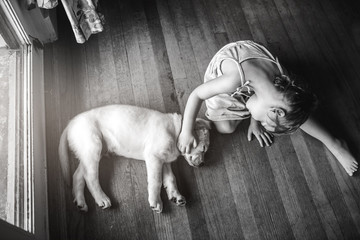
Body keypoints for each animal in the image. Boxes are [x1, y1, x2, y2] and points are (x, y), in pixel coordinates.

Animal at [58, 104, 211, 213]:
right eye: (204, 148)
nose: (203, 164)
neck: (176, 131)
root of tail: (70, 123)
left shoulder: (164, 162)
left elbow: (170, 179)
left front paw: (176, 196)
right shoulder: (154, 158)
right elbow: (156, 181)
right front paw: (156, 202)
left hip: (89, 152)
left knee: (78, 175)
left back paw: (80, 203)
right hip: (94, 146)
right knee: (90, 177)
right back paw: (101, 198)